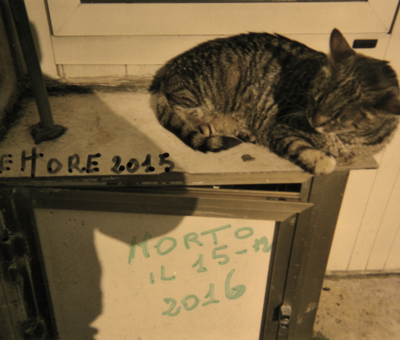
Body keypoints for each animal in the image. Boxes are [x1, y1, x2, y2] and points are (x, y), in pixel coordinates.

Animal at [151, 28, 400, 175]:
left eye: (340, 116)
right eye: (315, 95)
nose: (313, 118)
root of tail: (170, 68)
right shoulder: (281, 127)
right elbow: (302, 148)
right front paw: (323, 161)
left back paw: (241, 130)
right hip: (207, 85)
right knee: (181, 107)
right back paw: (204, 123)